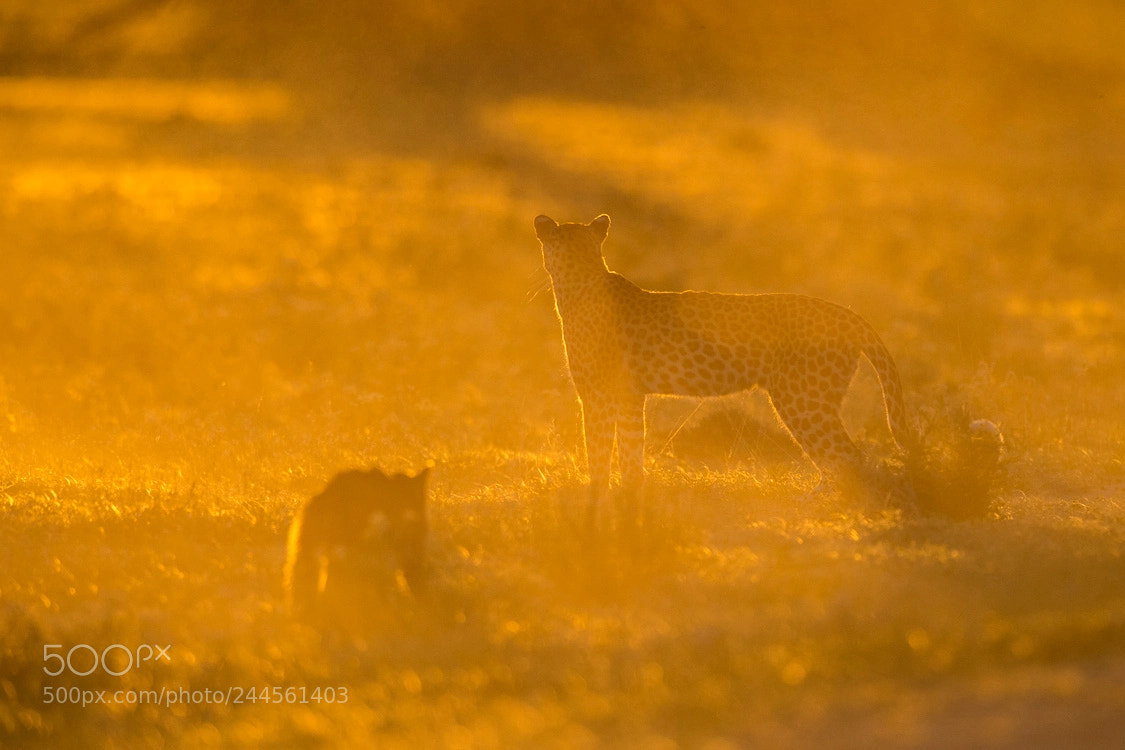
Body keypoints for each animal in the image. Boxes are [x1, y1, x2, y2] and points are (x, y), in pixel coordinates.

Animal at [534, 214, 916, 506]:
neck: (578, 279)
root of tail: (848, 313)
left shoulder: (596, 395)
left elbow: (597, 450)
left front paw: (595, 497)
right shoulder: (629, 396)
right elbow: (630, 451)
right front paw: (630, 496)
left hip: (802, 401)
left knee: (849, 458)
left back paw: (827, 507)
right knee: (840, 461)